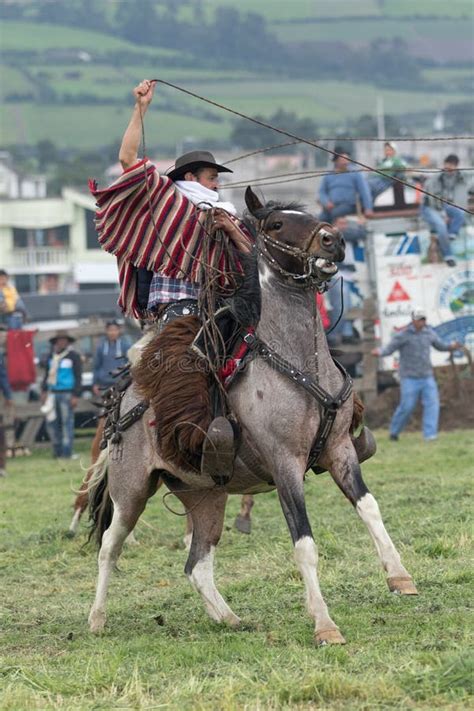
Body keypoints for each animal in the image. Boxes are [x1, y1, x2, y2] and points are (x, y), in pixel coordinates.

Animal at [87, 189, 416, 644]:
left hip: (206, 496)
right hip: (131, 490)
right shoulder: (285, 464)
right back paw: (96, 619)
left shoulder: (339, 451)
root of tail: (124, 400)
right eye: (276, 224)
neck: (302, 362)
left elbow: (369, 508)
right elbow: (304, 544)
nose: (333, 241)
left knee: (197, 564)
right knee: (109, 547)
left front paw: (400, 576)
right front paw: (324, 624)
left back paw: (229, 618)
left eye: (310, 215)